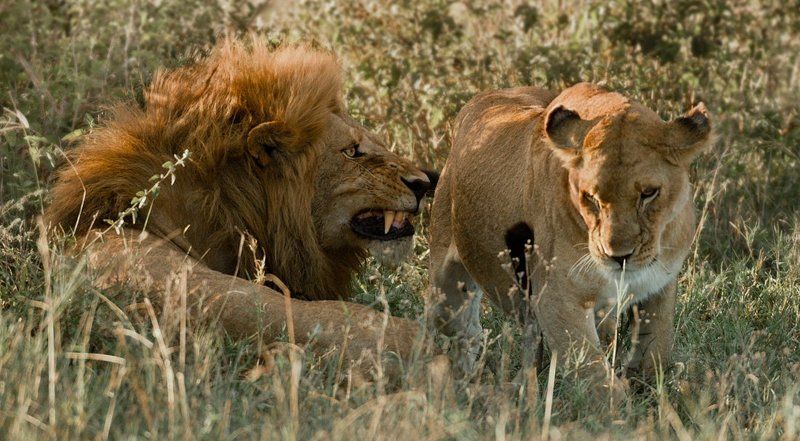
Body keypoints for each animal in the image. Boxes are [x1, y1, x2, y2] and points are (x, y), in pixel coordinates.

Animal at [429, 83, 711, 399]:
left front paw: (651, 394)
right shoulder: (557, 296)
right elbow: (595, 375)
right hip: (447, 297)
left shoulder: (660, 282)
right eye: (591, 198)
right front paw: (621, 408)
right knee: (464, 332)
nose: (619, 256)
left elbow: (656, 349)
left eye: (648, 193)